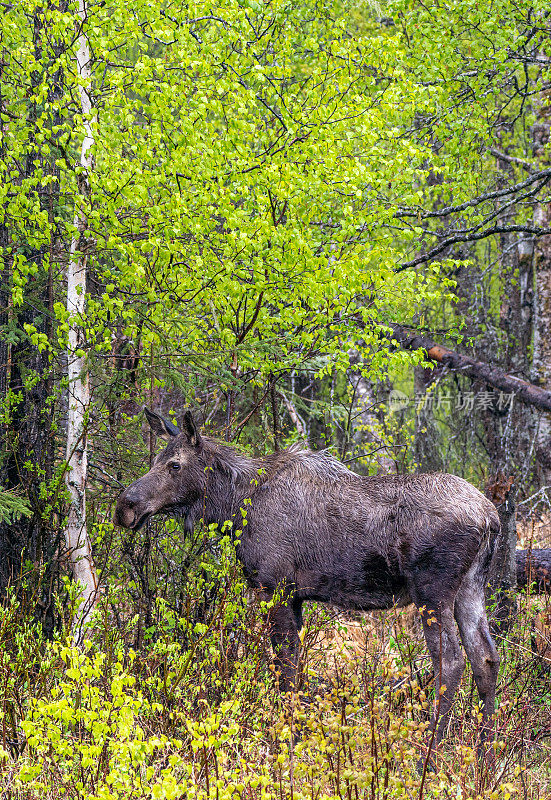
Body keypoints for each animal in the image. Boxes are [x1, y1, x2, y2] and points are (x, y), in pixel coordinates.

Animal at [114, 410, 502, 748]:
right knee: (485, 658)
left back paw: (430, 756)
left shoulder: (275, 587)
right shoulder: (297, 597)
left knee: (451, 660)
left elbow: (284, 668)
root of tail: (491, 516)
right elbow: (296, 668)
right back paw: (484, 754)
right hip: (471, 588)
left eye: (174, 464)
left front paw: (287, 740)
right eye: (155, 459)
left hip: (432, 591)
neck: (233, 507)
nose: (125, 507)